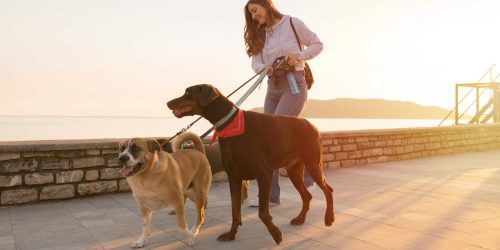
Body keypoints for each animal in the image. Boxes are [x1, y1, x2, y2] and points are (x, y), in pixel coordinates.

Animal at [166, 83, 334, 244]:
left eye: (188, 92)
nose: (167, 102)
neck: (230, 125)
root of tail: (313, 126)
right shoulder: (234, 176)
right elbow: (235, 211)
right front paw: (231, 234)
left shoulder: (264, 173)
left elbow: (263, 212)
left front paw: (276, 234)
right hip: (294, 171)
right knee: (307, 196)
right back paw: (300, 219)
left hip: (313, 165)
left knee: (328, 190)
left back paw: (329, 218)